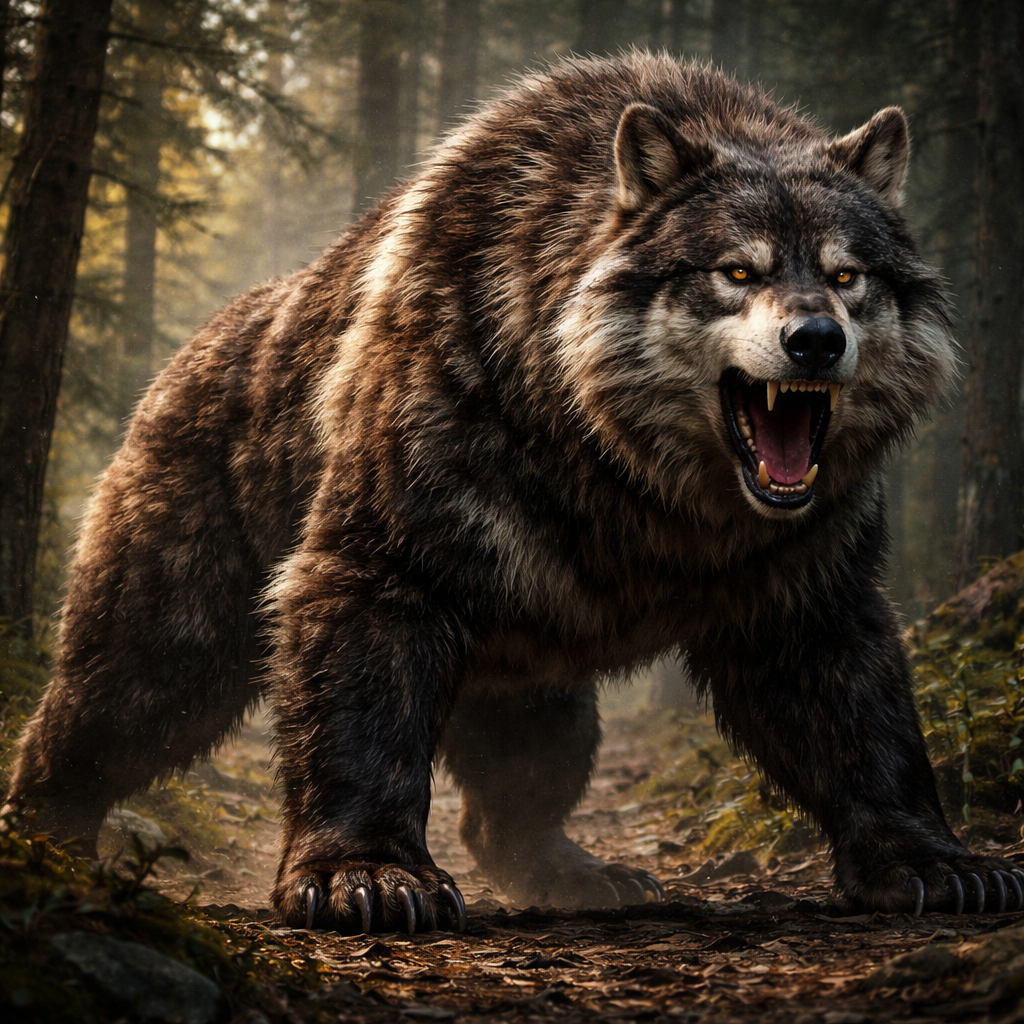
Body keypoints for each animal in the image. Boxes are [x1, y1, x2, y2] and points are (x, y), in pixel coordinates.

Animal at [9, 52, 1024, 933]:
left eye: (848, 274)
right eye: (739, 270)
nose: (815, 340)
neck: (627, 475)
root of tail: (181, 355)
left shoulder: (802, 566)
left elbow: (862, 718)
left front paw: (942, 863)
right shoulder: (402, 529)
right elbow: (360, 698)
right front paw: (366, 877)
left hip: (537, 648)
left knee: (525, 779)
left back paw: (587, 873)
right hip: (187, 582)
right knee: (108, 705)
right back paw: (42, 835)